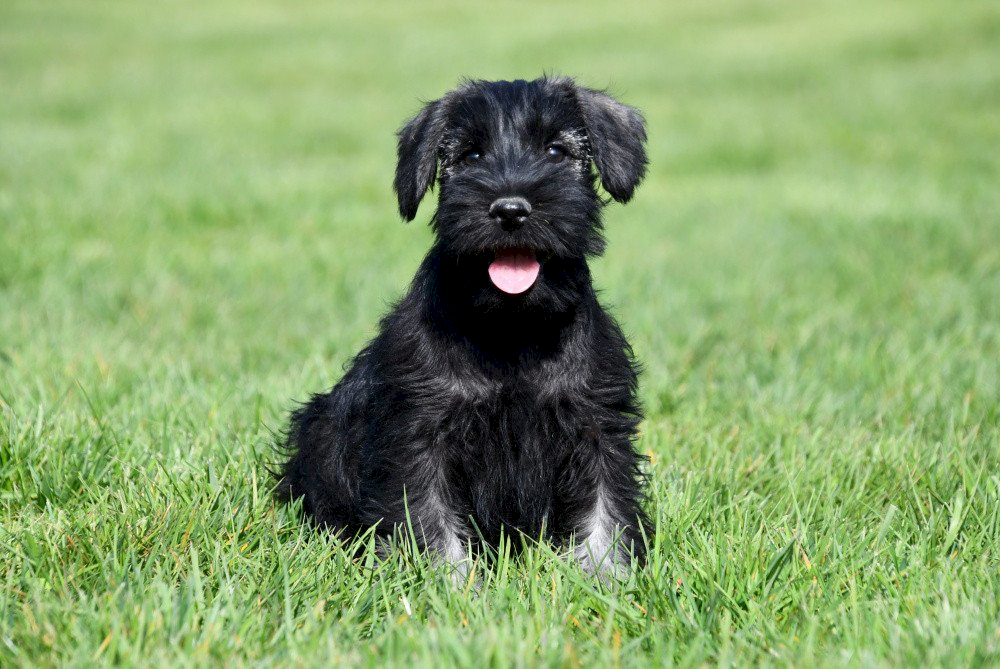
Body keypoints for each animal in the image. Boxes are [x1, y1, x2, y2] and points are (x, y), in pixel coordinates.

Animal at [277, 76, 650, 575]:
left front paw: (608, 581)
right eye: (470, 156)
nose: (510, 209)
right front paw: (445, 584)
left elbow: (605, 513)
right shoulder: (419, 433)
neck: (513, 328)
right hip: (321, 433)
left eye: (556, 151)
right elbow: (429, 520)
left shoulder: (596, 424)